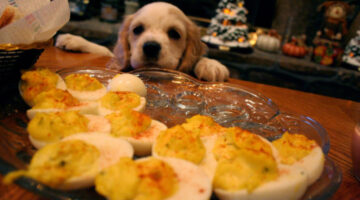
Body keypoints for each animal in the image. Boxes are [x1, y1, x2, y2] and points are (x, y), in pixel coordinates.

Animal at [57, 1, 229, 81]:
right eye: (137, 29)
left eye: (174, 33)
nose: (151, 47)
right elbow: (104, 49)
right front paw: (73, 39)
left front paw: (211, 65)